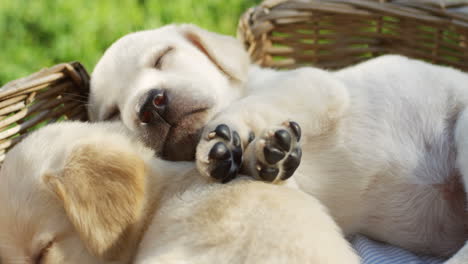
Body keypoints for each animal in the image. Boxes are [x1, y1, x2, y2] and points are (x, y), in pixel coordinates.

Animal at [88, 23, 468, 260]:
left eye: (162, 57)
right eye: (112, 112)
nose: (148, 105)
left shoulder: (314, 84)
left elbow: (245, 108)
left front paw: (222, 142)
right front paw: (263, 156)